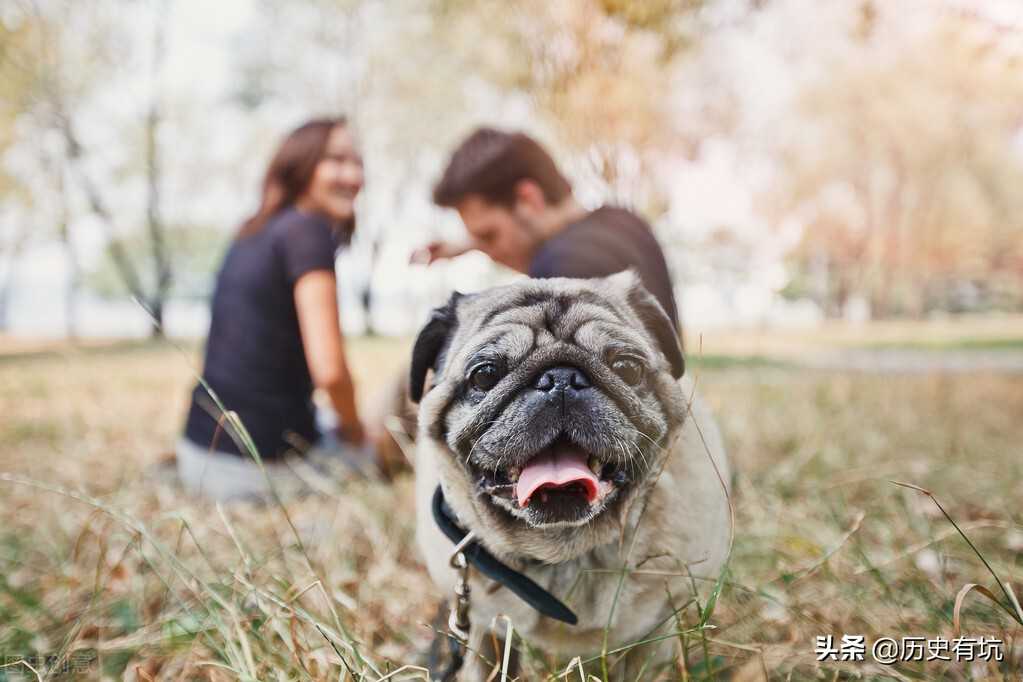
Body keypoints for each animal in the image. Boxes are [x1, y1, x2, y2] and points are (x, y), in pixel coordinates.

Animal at [411, 269, 732, 678]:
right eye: (484, 375)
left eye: (627, 368)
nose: (559, 378)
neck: (564, 552)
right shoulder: (483, 626)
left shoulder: (655, 631)